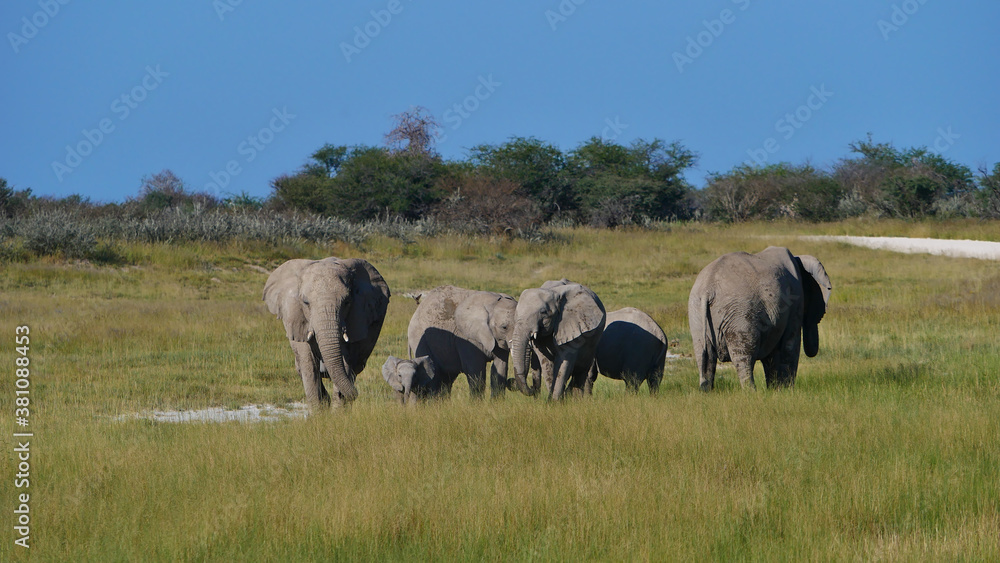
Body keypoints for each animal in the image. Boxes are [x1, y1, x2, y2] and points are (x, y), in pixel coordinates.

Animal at [262, 258, 390, 408]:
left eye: (347, 302)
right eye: (305, 302)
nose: (356, 394)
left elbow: (346, 361)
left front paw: (337, 411)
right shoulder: (297, 317)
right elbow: (309, 363)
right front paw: (319, 412)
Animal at [688, 247, 836, 392]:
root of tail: (708, 289)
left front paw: (775, 390)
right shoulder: (795, 302)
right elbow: (790, 346)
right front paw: (787, 391)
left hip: (696, 312)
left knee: (704, 355)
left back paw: (706, 391)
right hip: (740, 314)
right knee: (743, 355)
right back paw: (751, 392)